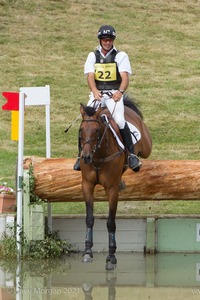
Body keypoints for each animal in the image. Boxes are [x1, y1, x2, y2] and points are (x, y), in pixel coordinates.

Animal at [78, 95, 152, 270]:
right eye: (81, 130)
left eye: (97, 130)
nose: (85, 157)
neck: (98, 155)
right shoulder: (87, 186)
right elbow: (89, 218)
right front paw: (87, 251)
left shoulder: (111, 190)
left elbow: (111, 222)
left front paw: (111, 257)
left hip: (147, 147)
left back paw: (134, 161)